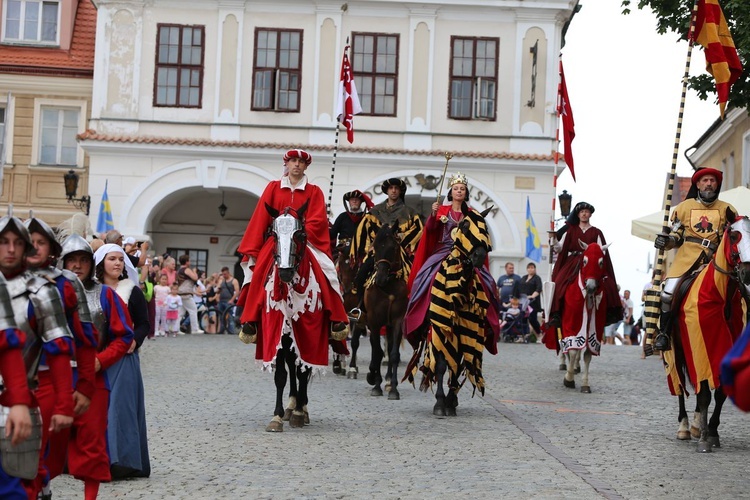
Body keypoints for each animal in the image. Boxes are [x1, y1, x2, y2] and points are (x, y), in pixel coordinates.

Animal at [362, 223, 406, 398]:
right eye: (374, 247)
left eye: (393, 247)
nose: (380, 279)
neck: (389, 288)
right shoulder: (373, 321)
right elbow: (377, 352)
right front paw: (375, 384)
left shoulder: (397, 320)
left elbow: (393, 353)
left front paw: (393, 388)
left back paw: (387, 381)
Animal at [560, 240, 612, 392]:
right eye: (584, 261)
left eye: (601, 262)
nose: (590, 287)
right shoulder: (570, 322)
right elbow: (571, 350)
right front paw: (569, 379)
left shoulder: (596, 327)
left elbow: (588, 354)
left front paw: (585, 384)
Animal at [664, 215, 750, 454]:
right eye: (734, 235)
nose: (747, 272)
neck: (723, 299)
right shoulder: (699, 345)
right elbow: (704, 394)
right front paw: (704, 439)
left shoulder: (722, 351)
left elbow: (719, 394)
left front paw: (711, 432)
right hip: (678, 350)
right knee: (680, 383)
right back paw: (684, 426)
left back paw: (695, 425)